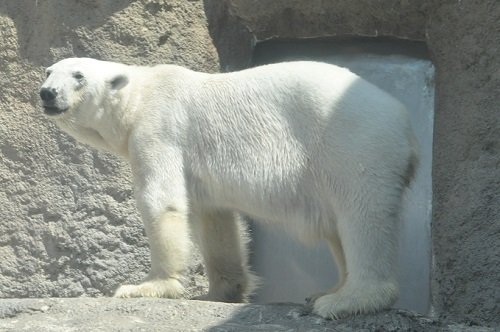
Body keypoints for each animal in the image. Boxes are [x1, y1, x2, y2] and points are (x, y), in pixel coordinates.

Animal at [40, 57, 418, 320]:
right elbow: (213, 218)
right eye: (48, 71)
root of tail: (405, 124)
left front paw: (147, 286)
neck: (139, 95)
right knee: (338, 225)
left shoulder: (159, 129)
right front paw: (221, 292)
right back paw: (327, 291)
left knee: (361, 215)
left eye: (78, 76)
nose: (47, 93)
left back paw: (345, 300)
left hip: (355, 143)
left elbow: (160, 201)